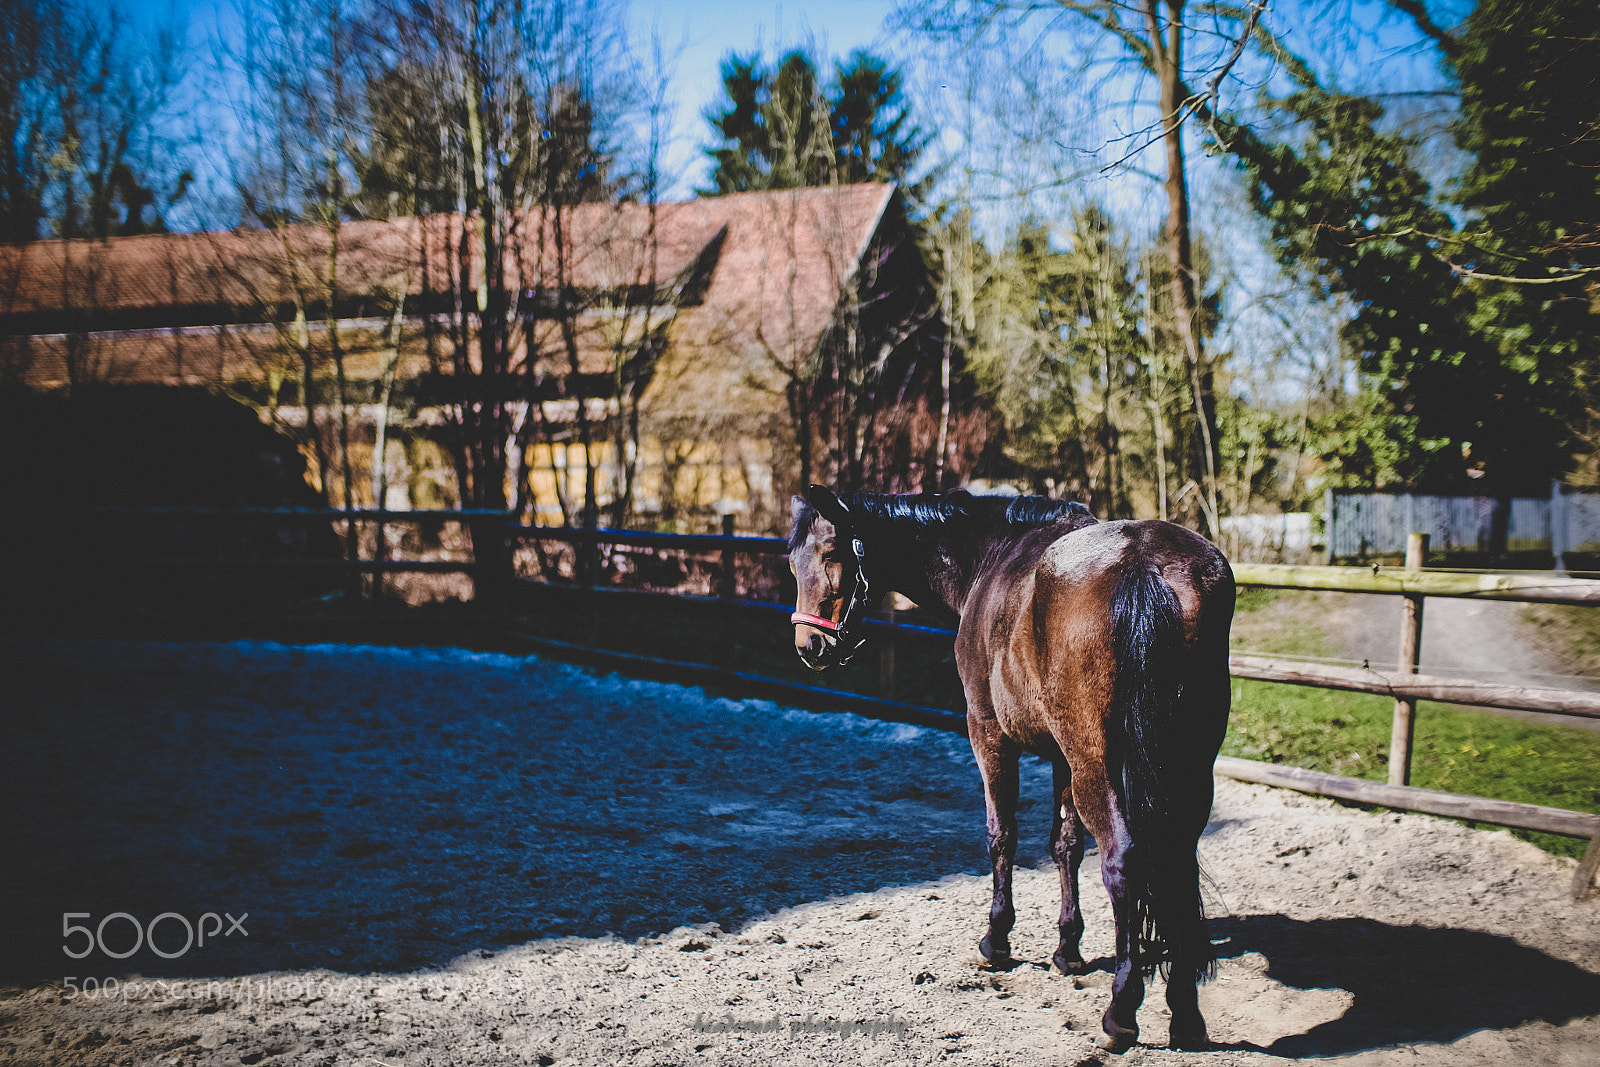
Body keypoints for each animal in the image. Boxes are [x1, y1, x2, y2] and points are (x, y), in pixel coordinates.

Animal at [787, 485, 1234, 1052]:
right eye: (792, 563)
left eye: (831, 554)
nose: (809, 646)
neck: (990, 556)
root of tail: (1144, 564)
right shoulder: (1062, 755)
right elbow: (1065, 846)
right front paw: (1068, 949)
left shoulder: (988, 733)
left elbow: (1002, 835)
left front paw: (997, 939)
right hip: (1183, 767)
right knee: (1176, 861)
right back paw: (1185, 1012)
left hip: (1100, 766)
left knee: (1124, 862)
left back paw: (1121, 1011)